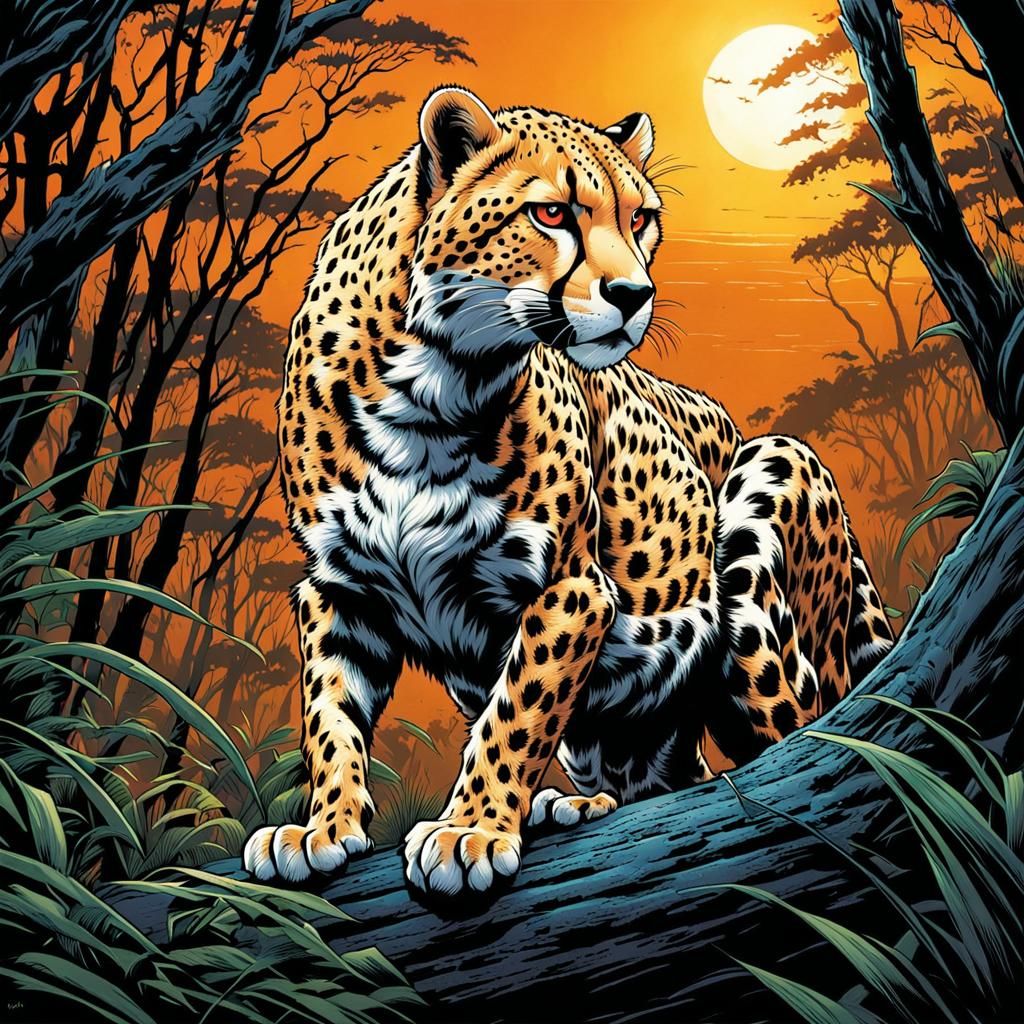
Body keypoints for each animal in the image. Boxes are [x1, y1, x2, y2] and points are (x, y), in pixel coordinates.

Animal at [243, 86, 895, 897]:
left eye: (640, 219)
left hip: (769, 503)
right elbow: (331, 716)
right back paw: (575, 806)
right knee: (666, 775)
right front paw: (323, 827)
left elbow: (515, 713)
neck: (433, 383)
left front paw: (468, 830)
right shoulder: (339, 587)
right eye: (551, 213)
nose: (634, 293)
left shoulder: (571, 589)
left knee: (799, 734)